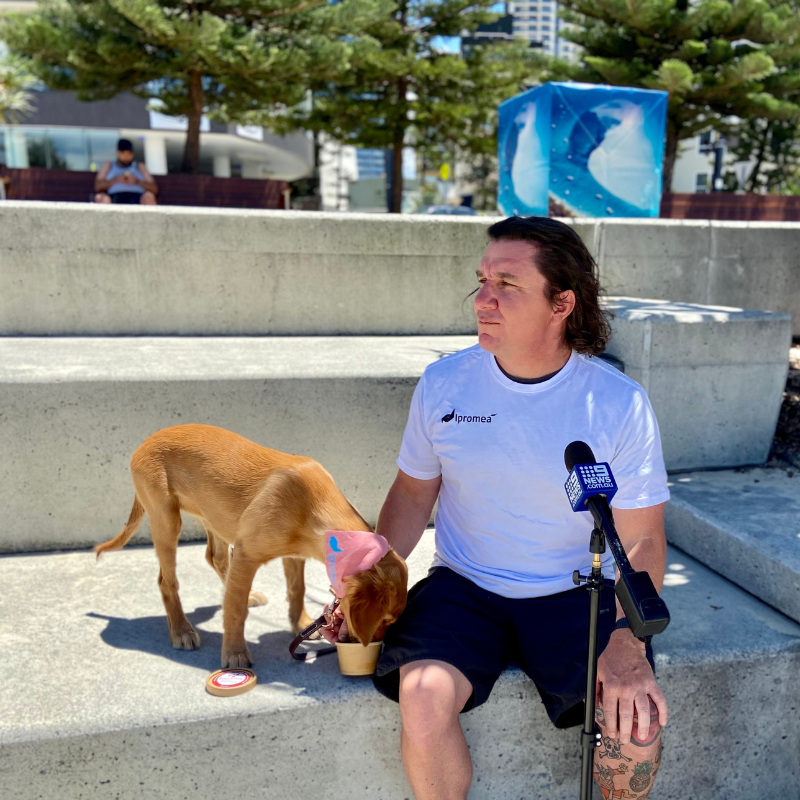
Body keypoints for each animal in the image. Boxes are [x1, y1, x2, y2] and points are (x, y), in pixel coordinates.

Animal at [95, 424, 406, 668]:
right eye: (384, 619)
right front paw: (235, 653)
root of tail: (146, 441)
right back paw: (181, 630)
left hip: (214, 515)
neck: (314, 504)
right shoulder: (247, 554)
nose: (376, 651)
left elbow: (297, 590)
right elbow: (235, 609)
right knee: (166, 580)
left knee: (216, 558)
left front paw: (301, 622)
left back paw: (244, 594)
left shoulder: (293, 555)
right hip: (166, 519)